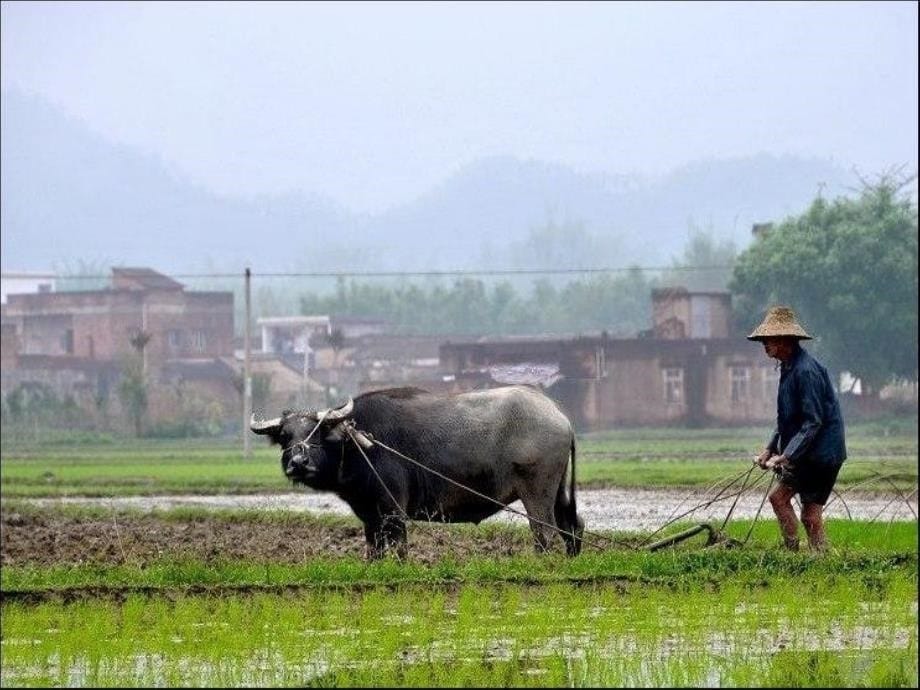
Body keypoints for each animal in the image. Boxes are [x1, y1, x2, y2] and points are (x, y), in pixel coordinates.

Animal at [252, 384, 584, 556]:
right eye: (285, 436)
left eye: (318, 432)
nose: (298, 463)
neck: (358, 445)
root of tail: (559, 415)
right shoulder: (370, 516)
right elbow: (374, 550)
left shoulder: (393, 511)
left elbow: (399, 548)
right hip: (557, 491)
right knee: (572, 525)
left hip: (537, 492)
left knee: (545, 532)